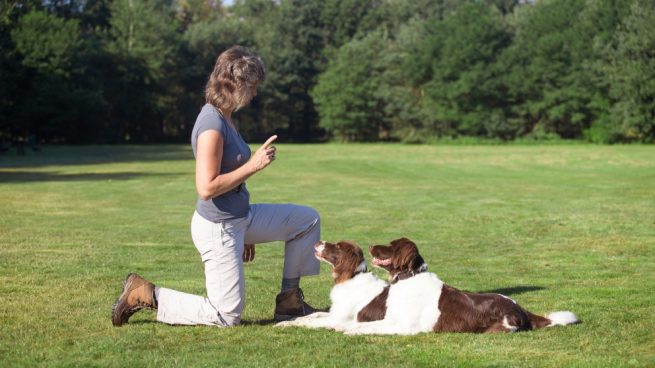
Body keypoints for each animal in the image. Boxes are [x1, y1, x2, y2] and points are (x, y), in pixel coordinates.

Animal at [344, 237, 580, 334]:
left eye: (391, 246)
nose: (370, 246)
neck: (409, 278)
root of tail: (520, 308)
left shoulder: (404, 326)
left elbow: (372, 329)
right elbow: (363, 325)